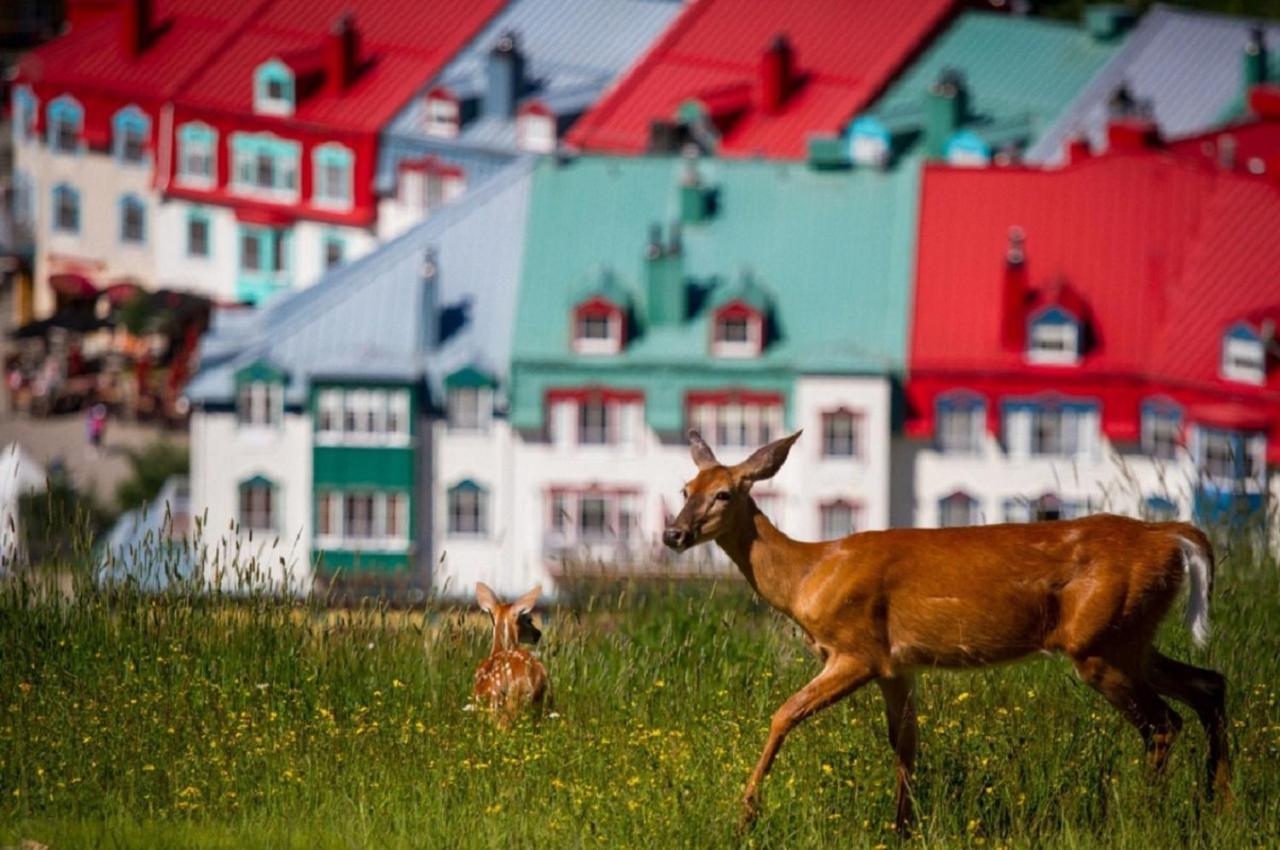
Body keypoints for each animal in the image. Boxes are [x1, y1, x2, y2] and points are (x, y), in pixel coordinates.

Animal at [660, 427, 1228, 824]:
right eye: (686, 488)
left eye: (724, 494)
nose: (673, 534)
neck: (808, 574)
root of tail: (1171, 535)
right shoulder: (896, 667)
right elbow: (906, 745)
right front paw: (902, 829)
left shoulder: (858, 650)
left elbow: (784, 714)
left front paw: (746, 813)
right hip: (1129, 636)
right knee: (1209, 685)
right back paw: (1214, 805)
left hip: (1100, 642)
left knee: (1163, 723)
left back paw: (1149, 815)